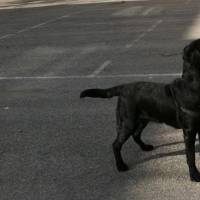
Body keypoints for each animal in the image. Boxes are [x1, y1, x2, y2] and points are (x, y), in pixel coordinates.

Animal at [80, 43, 200, 182]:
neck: (193, 85)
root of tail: (123, 87)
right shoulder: (189, 131)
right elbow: (191, 156)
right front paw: (194, 175)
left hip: (142, 119)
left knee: (136, 135)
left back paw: (144, 147)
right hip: (128, 121)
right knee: (116, 144)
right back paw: (121, 166)